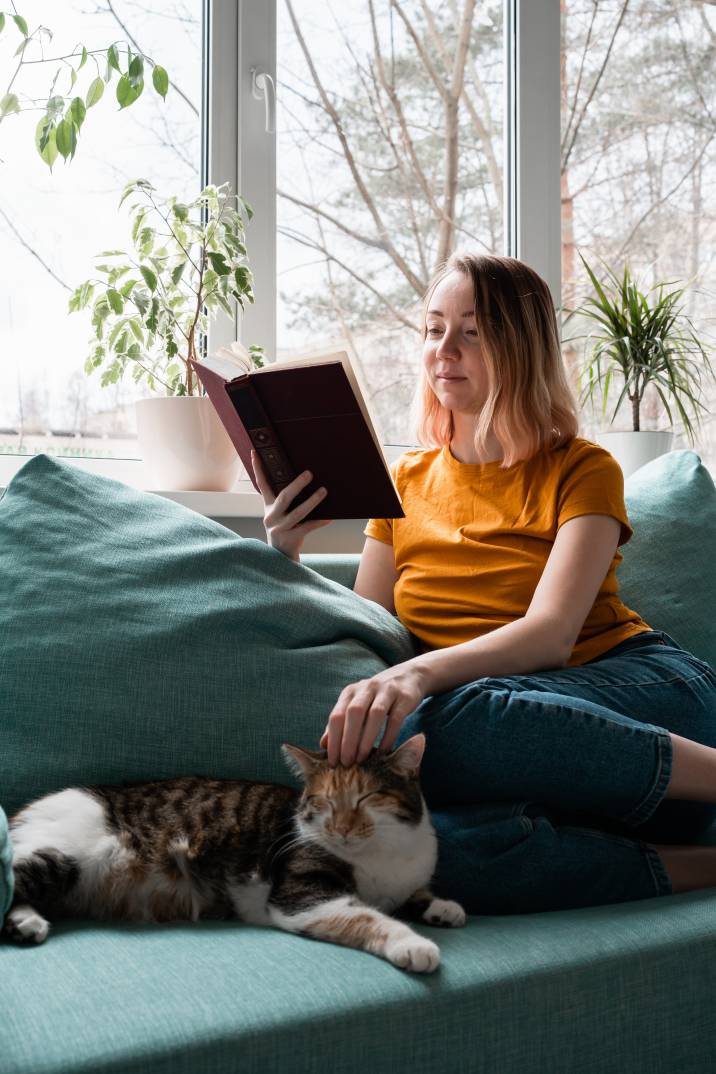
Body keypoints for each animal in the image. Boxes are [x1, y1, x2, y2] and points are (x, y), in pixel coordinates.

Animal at [1, 730, 465, 975]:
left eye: (367, 797)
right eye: (323, 802)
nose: (341, 829)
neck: (382, 855)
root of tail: (20, 813)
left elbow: (414, 894)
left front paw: (443, 907)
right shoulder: (303, 898)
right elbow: (368, 916)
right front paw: (414, 944)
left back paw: (27, 925)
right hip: (62, 856)